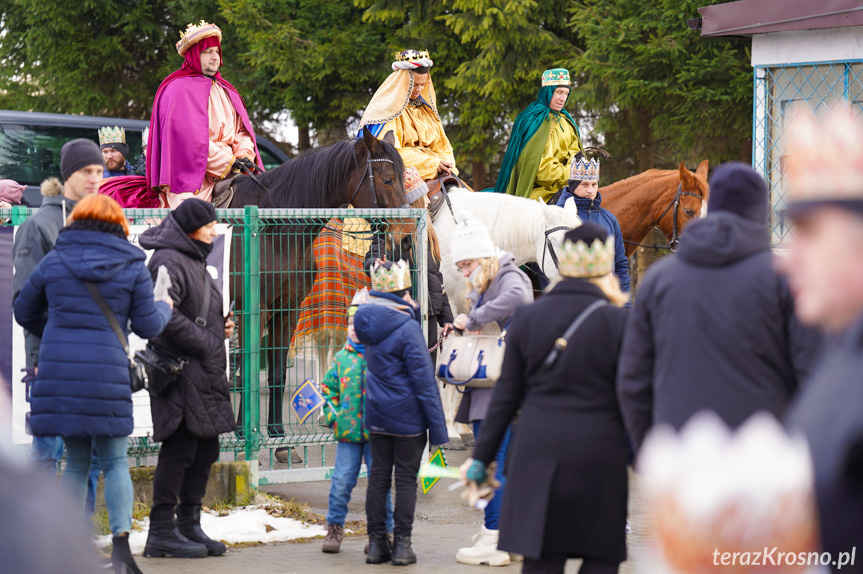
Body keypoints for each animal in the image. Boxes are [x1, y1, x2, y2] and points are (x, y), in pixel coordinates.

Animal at [228, 129, 406, 436]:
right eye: (387, 179)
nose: (403, 234)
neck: (275, 232)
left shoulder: (288, 310)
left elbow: (277, 373)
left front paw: (277, 434)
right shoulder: (254, 309)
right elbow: (248, 368)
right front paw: (242, 431)